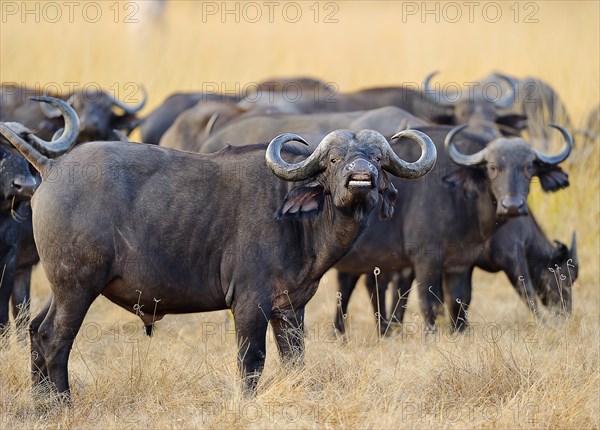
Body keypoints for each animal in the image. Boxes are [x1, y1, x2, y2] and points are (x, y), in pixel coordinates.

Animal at [0, 116, 436, 400]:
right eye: (332, 160)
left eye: (377, 159)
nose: (360, 177)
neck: (299, 222)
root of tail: (53, 166)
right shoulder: (249, 304)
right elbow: (252, 361)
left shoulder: (290, 309)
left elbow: (295, 360)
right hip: (78, 287)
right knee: (54, 337)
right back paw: (62, 403)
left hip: (61, 286)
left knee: (35, 330)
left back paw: (41, 405)